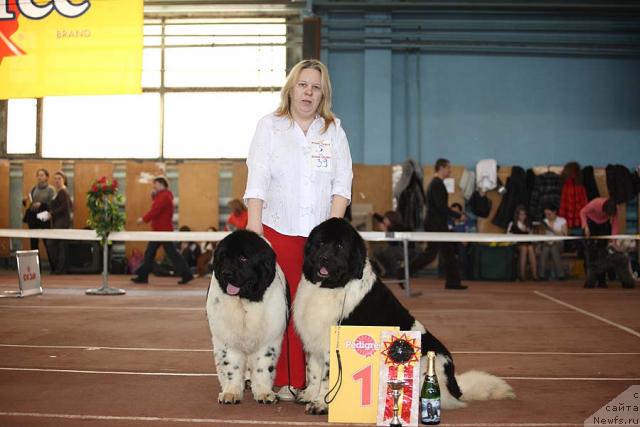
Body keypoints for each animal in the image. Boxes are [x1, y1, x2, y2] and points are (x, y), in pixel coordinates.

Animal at [206, 232, 286, 406]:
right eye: (223, 258)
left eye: (243, 258)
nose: (226, 273)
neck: (244, 301)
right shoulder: (227, 338)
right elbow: (231, 366)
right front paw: (230, 393)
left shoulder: (268, 339)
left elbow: (263, 366)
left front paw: (264, 393)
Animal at [296, 217, 516, 414]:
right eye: (320, 243)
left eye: (340, 246)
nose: (324, 258)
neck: (333, 286)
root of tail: (455, 387)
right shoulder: (313, 340)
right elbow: (313, 371)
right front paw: (309, 395)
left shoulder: (332, 345)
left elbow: (327, 376)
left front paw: (321, 404)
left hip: (426, 363)